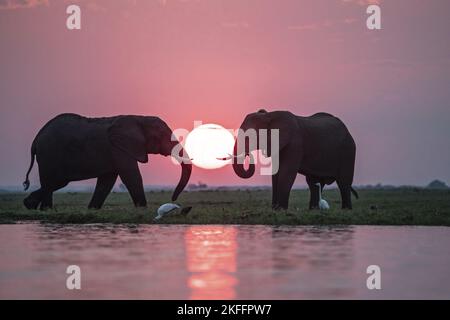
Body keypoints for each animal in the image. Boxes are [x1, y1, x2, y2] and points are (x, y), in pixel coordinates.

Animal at [22, 113, 192, 210]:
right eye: (162, 136)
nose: (173, 199)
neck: (139, 118)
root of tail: (35, 140)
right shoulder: (119, 148)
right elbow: (131, 176)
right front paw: (142, 208)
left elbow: (107, 181)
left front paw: (92, 209)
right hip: (49, 154)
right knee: (54, 181)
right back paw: (41, 208)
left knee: (54, 182)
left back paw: (33, 206)